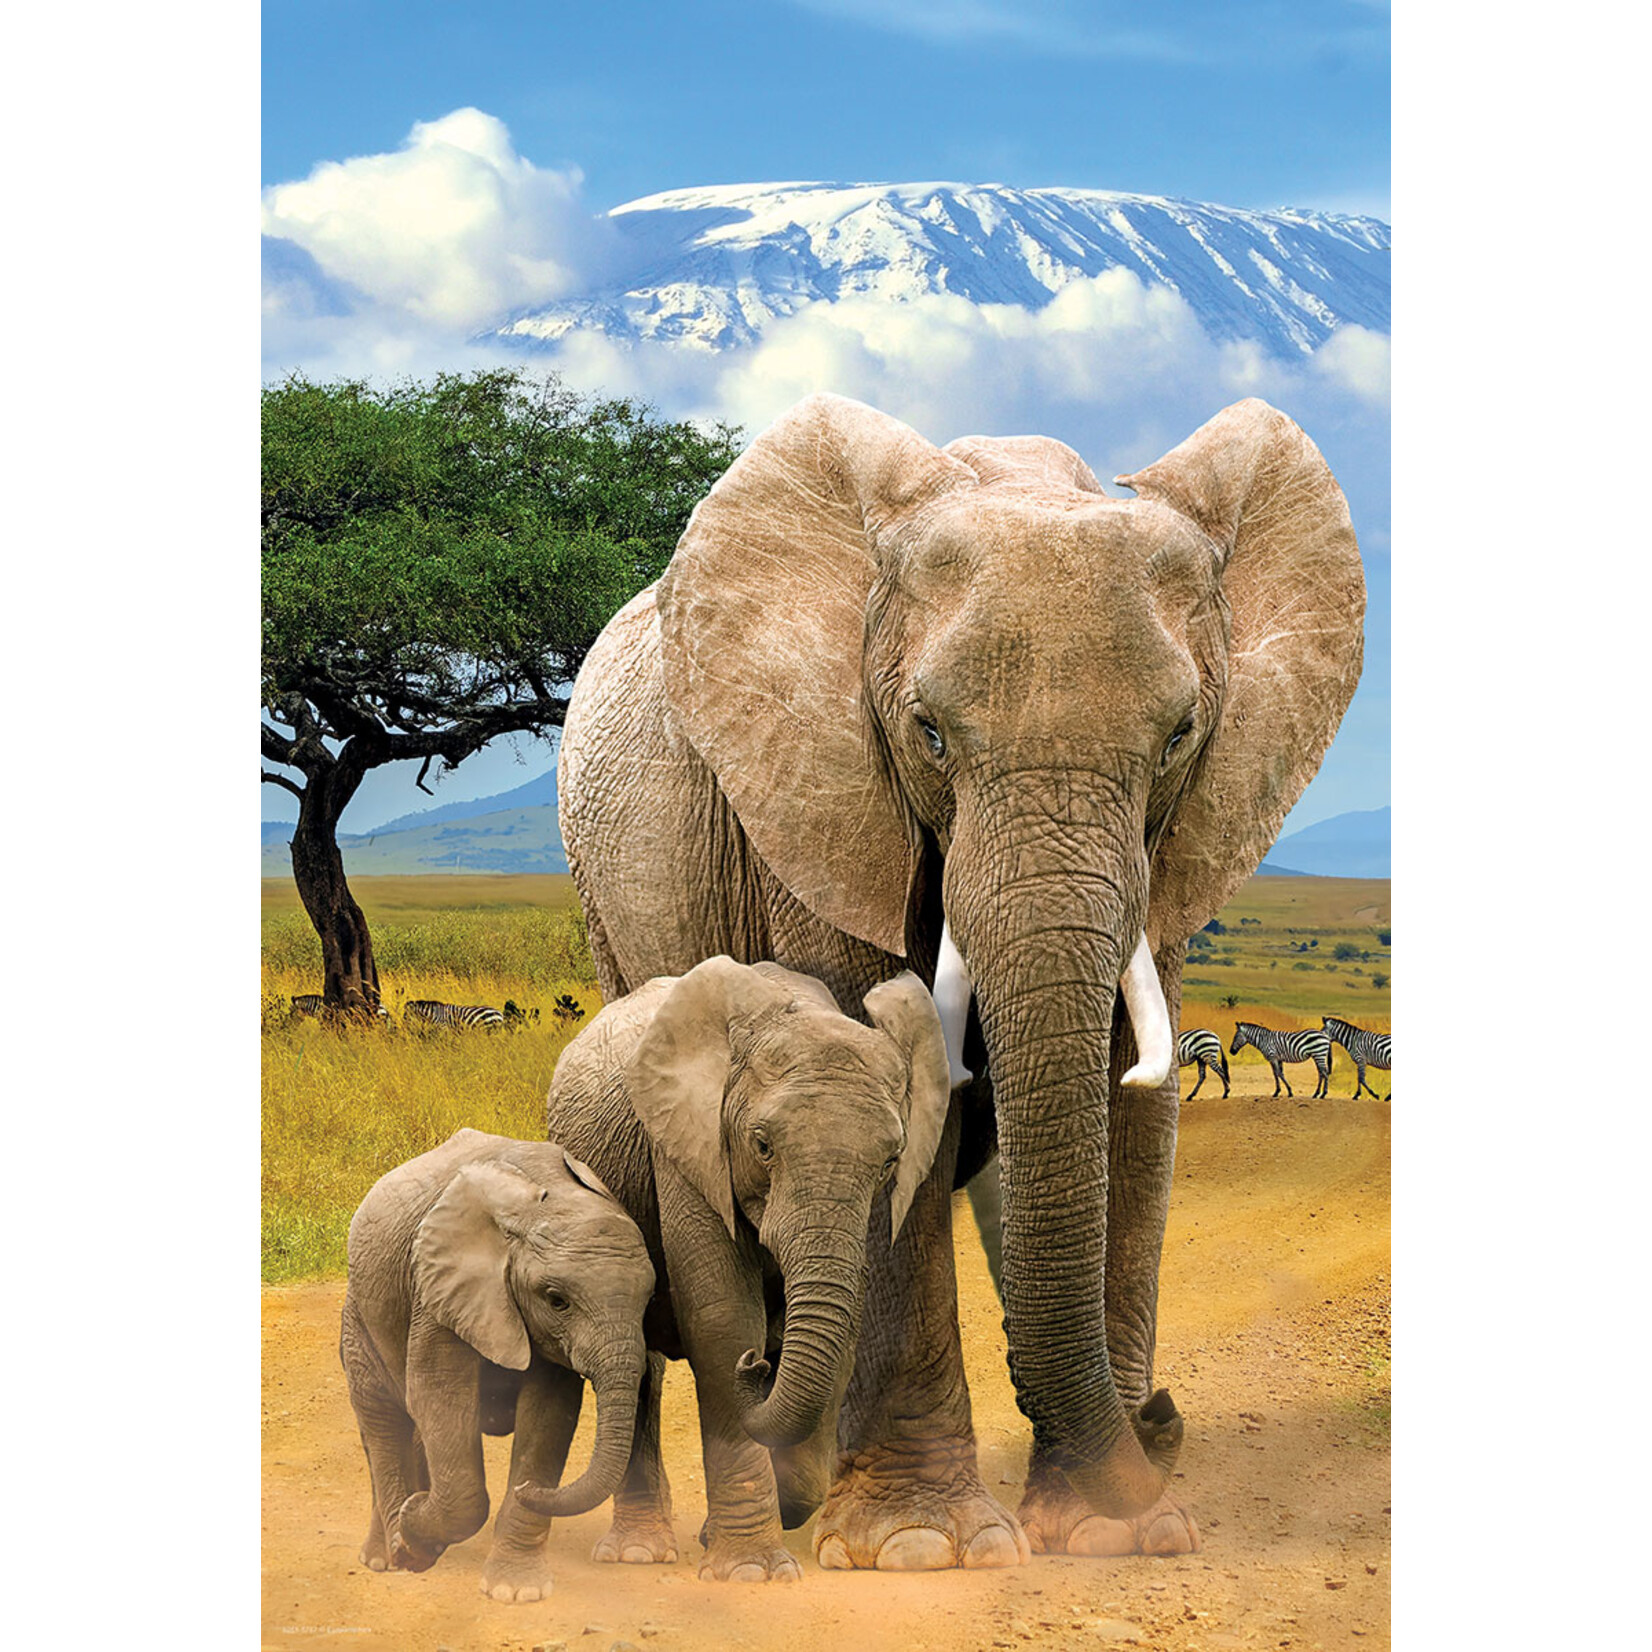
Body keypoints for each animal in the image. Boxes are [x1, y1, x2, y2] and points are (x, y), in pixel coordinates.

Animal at [339, 1128, 656, 1602]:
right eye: (557, 1300)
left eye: (649, 1299)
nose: (529, 1491)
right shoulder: (439, 1291)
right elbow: (438, 1396)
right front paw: (411, 1539)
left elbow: (548, 1415)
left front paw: (515, 1591)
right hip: (358, 1313)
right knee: (383, 1419)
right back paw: (386, 1555)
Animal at [543, 956, 952, 1581]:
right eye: (762, 1146)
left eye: (890, 1160)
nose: (757, 1366)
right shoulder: (686, 1145)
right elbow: (722, 1318)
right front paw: (749, 1572)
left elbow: (844, 1329)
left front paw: (731, 1533)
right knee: (637, 1365)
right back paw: (638, 1553)